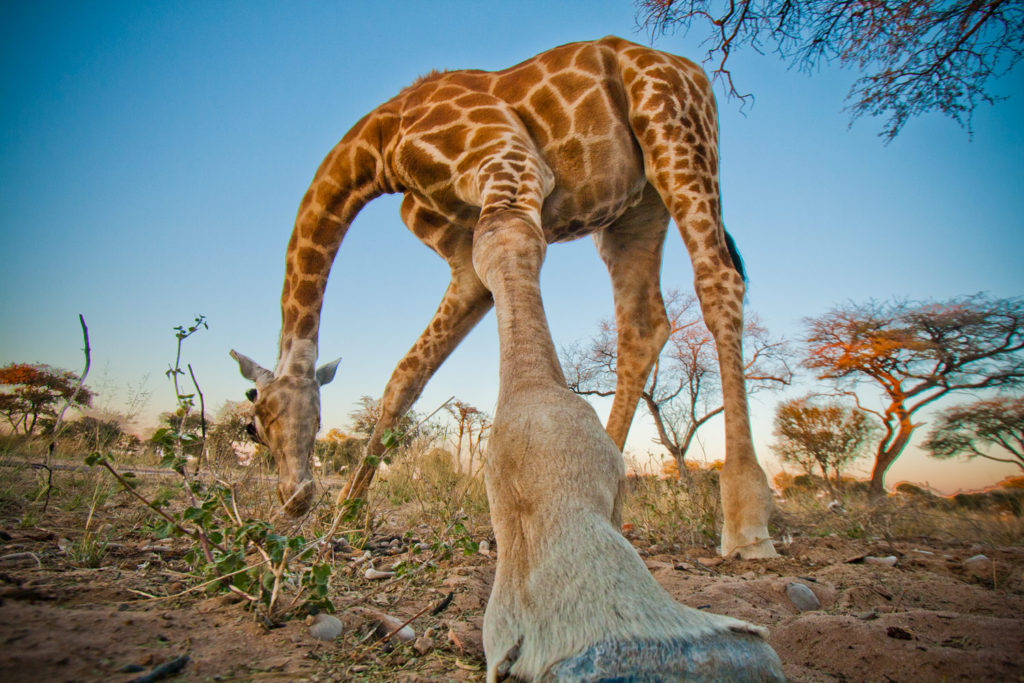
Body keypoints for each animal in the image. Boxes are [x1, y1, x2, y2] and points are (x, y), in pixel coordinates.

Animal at [232, 38, 782, 683]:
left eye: (254, 425)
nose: (294, 496)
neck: (380, 143)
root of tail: (693, 71)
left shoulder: (504, 155)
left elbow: (506, 243)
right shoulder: (461, 262)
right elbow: (407, 374)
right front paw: (344, 516)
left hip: (674, 131)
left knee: (718, 278)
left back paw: (745, 519)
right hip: (635, 210)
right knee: (644, 323)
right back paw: (618, 491)